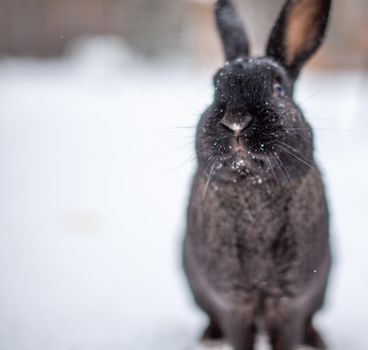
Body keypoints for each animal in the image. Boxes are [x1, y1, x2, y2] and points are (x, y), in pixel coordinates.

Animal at [183, 0, 332, 350]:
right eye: (215, 87)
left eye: (278, 89)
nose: (236, 120)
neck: (252, 186)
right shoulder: (234, 302)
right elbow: (240, 336)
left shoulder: (289, 301)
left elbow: (287, 336)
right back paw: (209, 336)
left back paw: (317, 339)